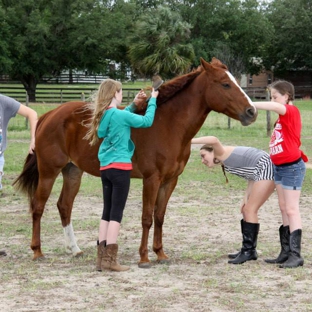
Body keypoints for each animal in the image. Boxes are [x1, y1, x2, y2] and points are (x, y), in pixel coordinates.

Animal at [13, 56, 256, 268]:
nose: (251, 112)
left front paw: (160, 253)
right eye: (225, 84)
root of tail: (50, 115)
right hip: (49, 172)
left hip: (72, 172)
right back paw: (37, 251)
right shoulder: (152, 179)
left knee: (64, 206)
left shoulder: (170, 181)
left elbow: (159, 216)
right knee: (38, 206)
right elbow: (147, 218)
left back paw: (75, 249)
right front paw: (144, 257)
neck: (168, 124)